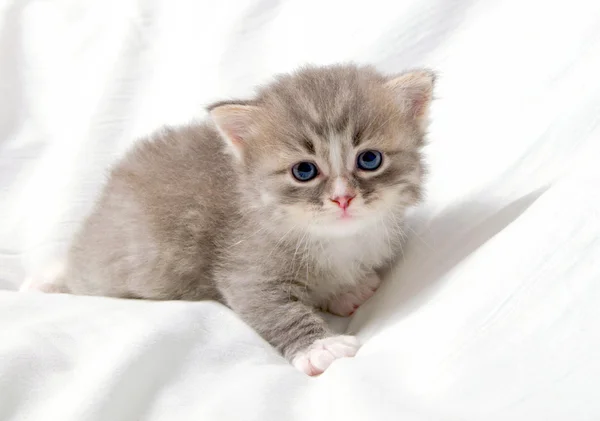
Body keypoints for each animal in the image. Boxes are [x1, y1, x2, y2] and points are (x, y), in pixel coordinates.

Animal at [30, 65, 434, 374]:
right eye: (304, 171)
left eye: (369, 159)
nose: (343, 198)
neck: (335, 239)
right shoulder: (245, 268)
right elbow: (276, 310)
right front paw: (319, 347)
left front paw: (345, 289)